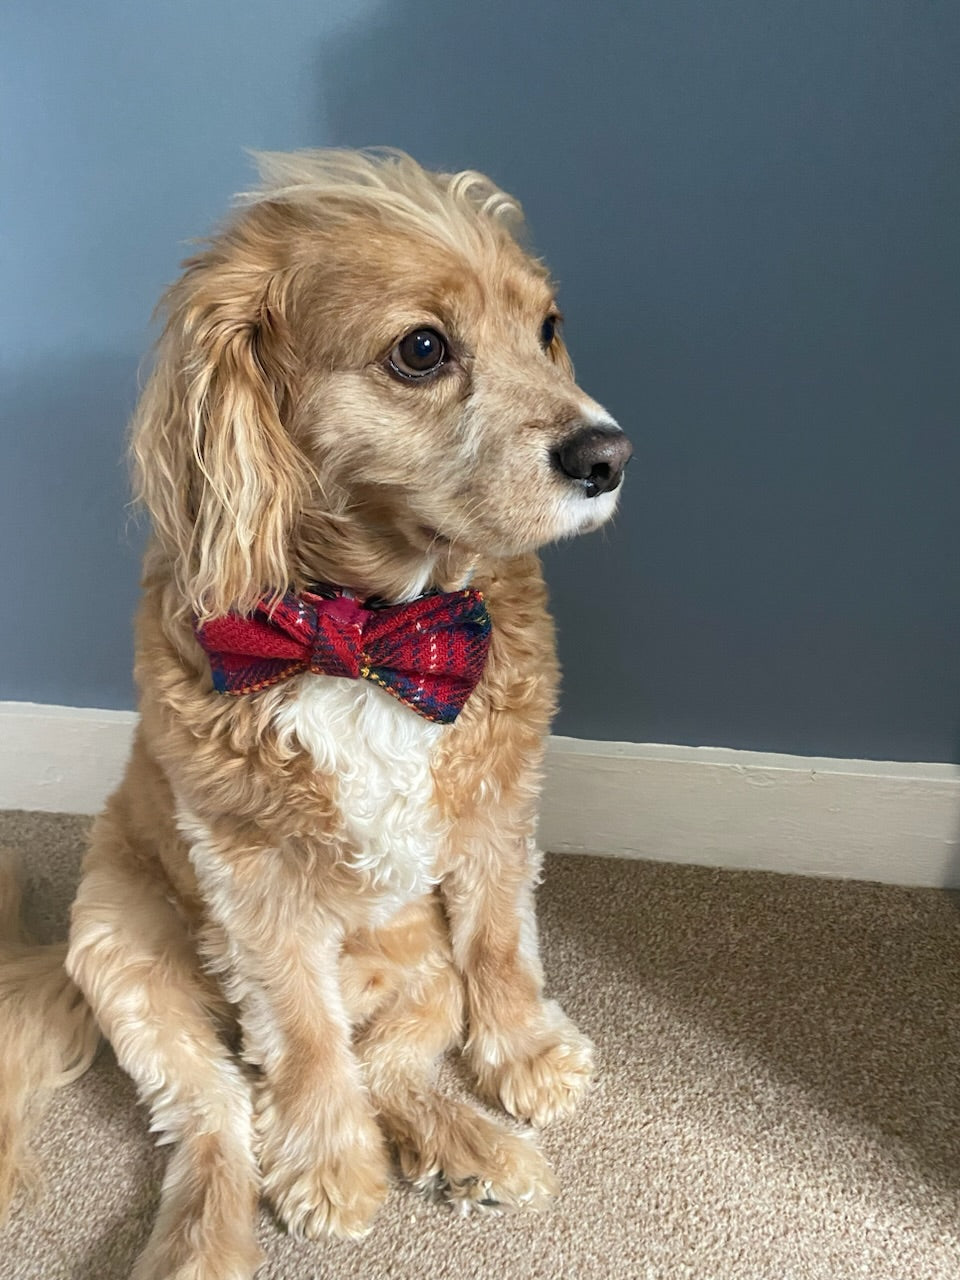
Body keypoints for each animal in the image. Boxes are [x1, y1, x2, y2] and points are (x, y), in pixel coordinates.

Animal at [0, 152, 634, 1280]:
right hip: (123, 956)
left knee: (390, 1061)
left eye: (549, 327)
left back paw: (475, 1149)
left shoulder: (495, 812)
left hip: (419, 968)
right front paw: (331, 1164)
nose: (609, 455)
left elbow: (502, 941)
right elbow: (300, 1031)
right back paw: (205, 1245)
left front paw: (524, 1054)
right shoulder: (253, 881)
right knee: (222, 1113)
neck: (366, 628)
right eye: (422, 349)